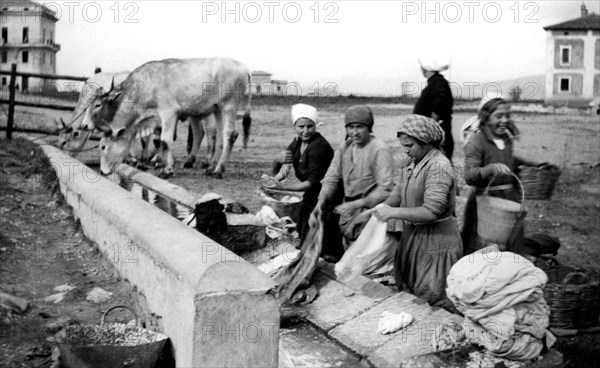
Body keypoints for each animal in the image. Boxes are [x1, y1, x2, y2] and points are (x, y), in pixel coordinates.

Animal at [91, 57, 251, 178]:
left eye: (103, 146)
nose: (102, 171)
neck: (146, 85)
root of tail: (243, 68)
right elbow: (159, 141)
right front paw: (163, 165)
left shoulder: (168, 113)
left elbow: (165, 141)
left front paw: (166, 170)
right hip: (217, 109)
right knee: (220, 137)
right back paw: (211, 168)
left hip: (229, 107)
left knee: (230, 135)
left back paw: (219, 170)